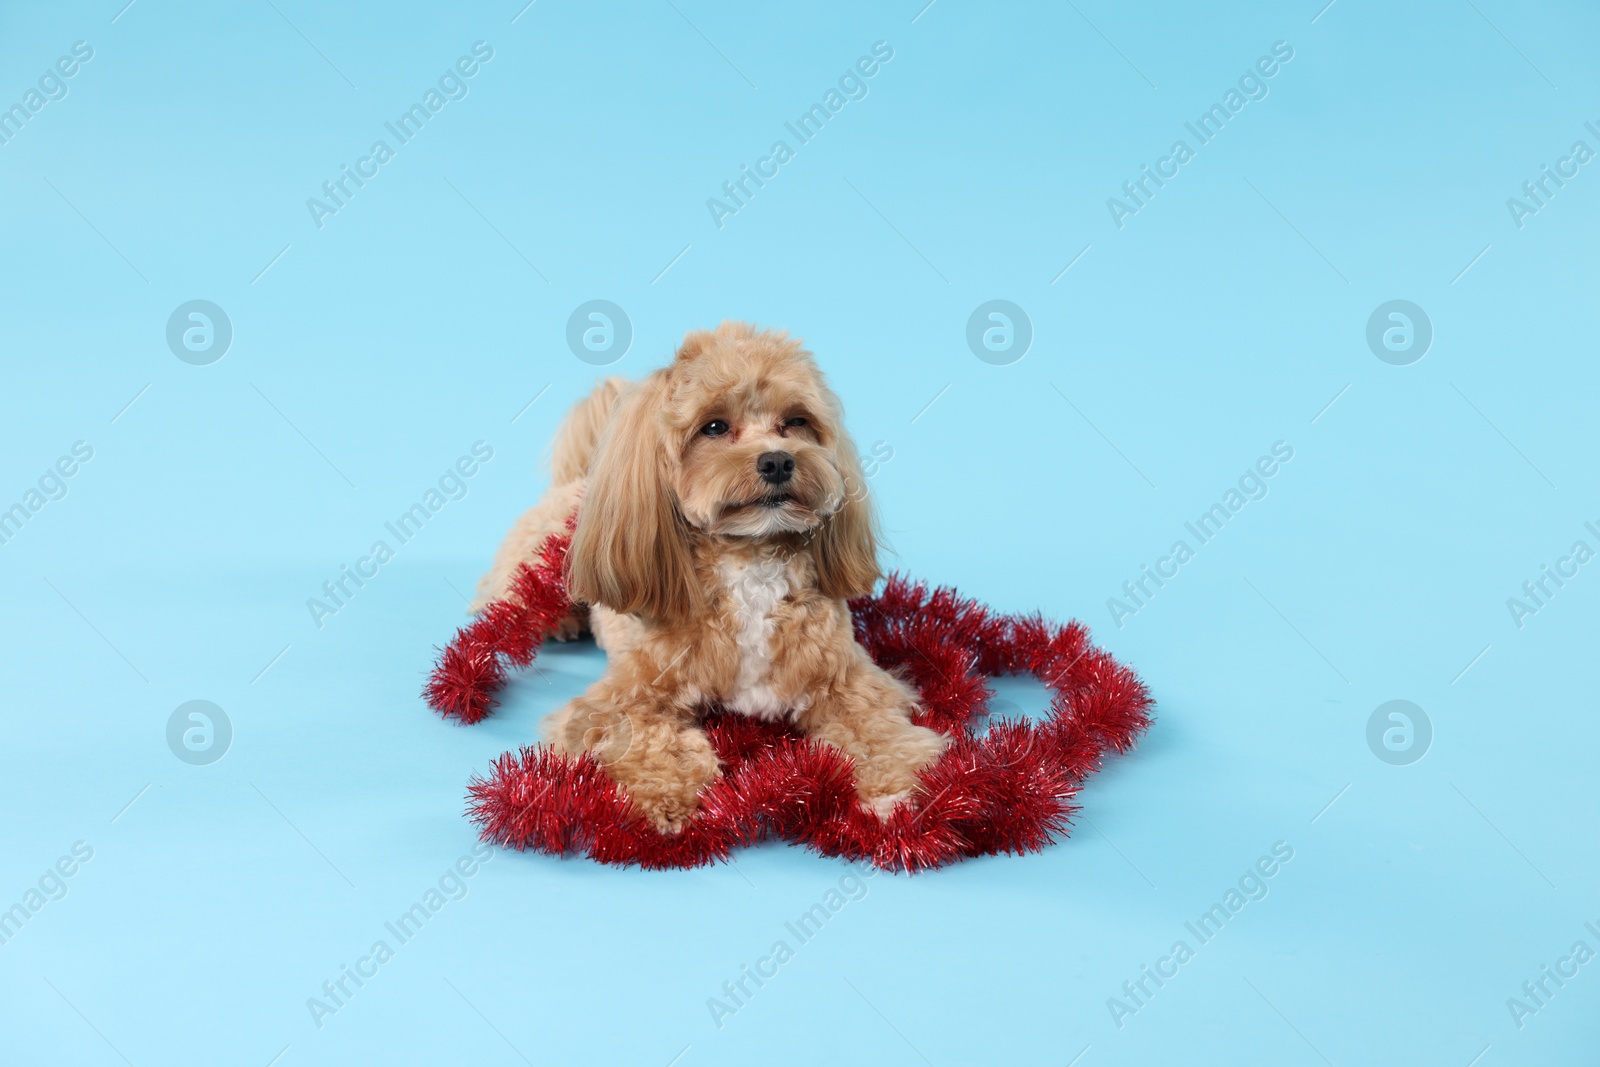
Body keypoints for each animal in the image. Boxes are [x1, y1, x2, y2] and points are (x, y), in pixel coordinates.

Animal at [473, 321, 947, 831]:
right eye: (714, 426)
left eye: (796, 421)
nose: (777, 460)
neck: (751, 561)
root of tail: (582, 478)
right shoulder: (621, 701)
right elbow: (646, 739)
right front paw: (668, 796)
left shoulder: (851, 681)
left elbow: (878, 729)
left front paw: (901, 785)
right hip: (529, 568)